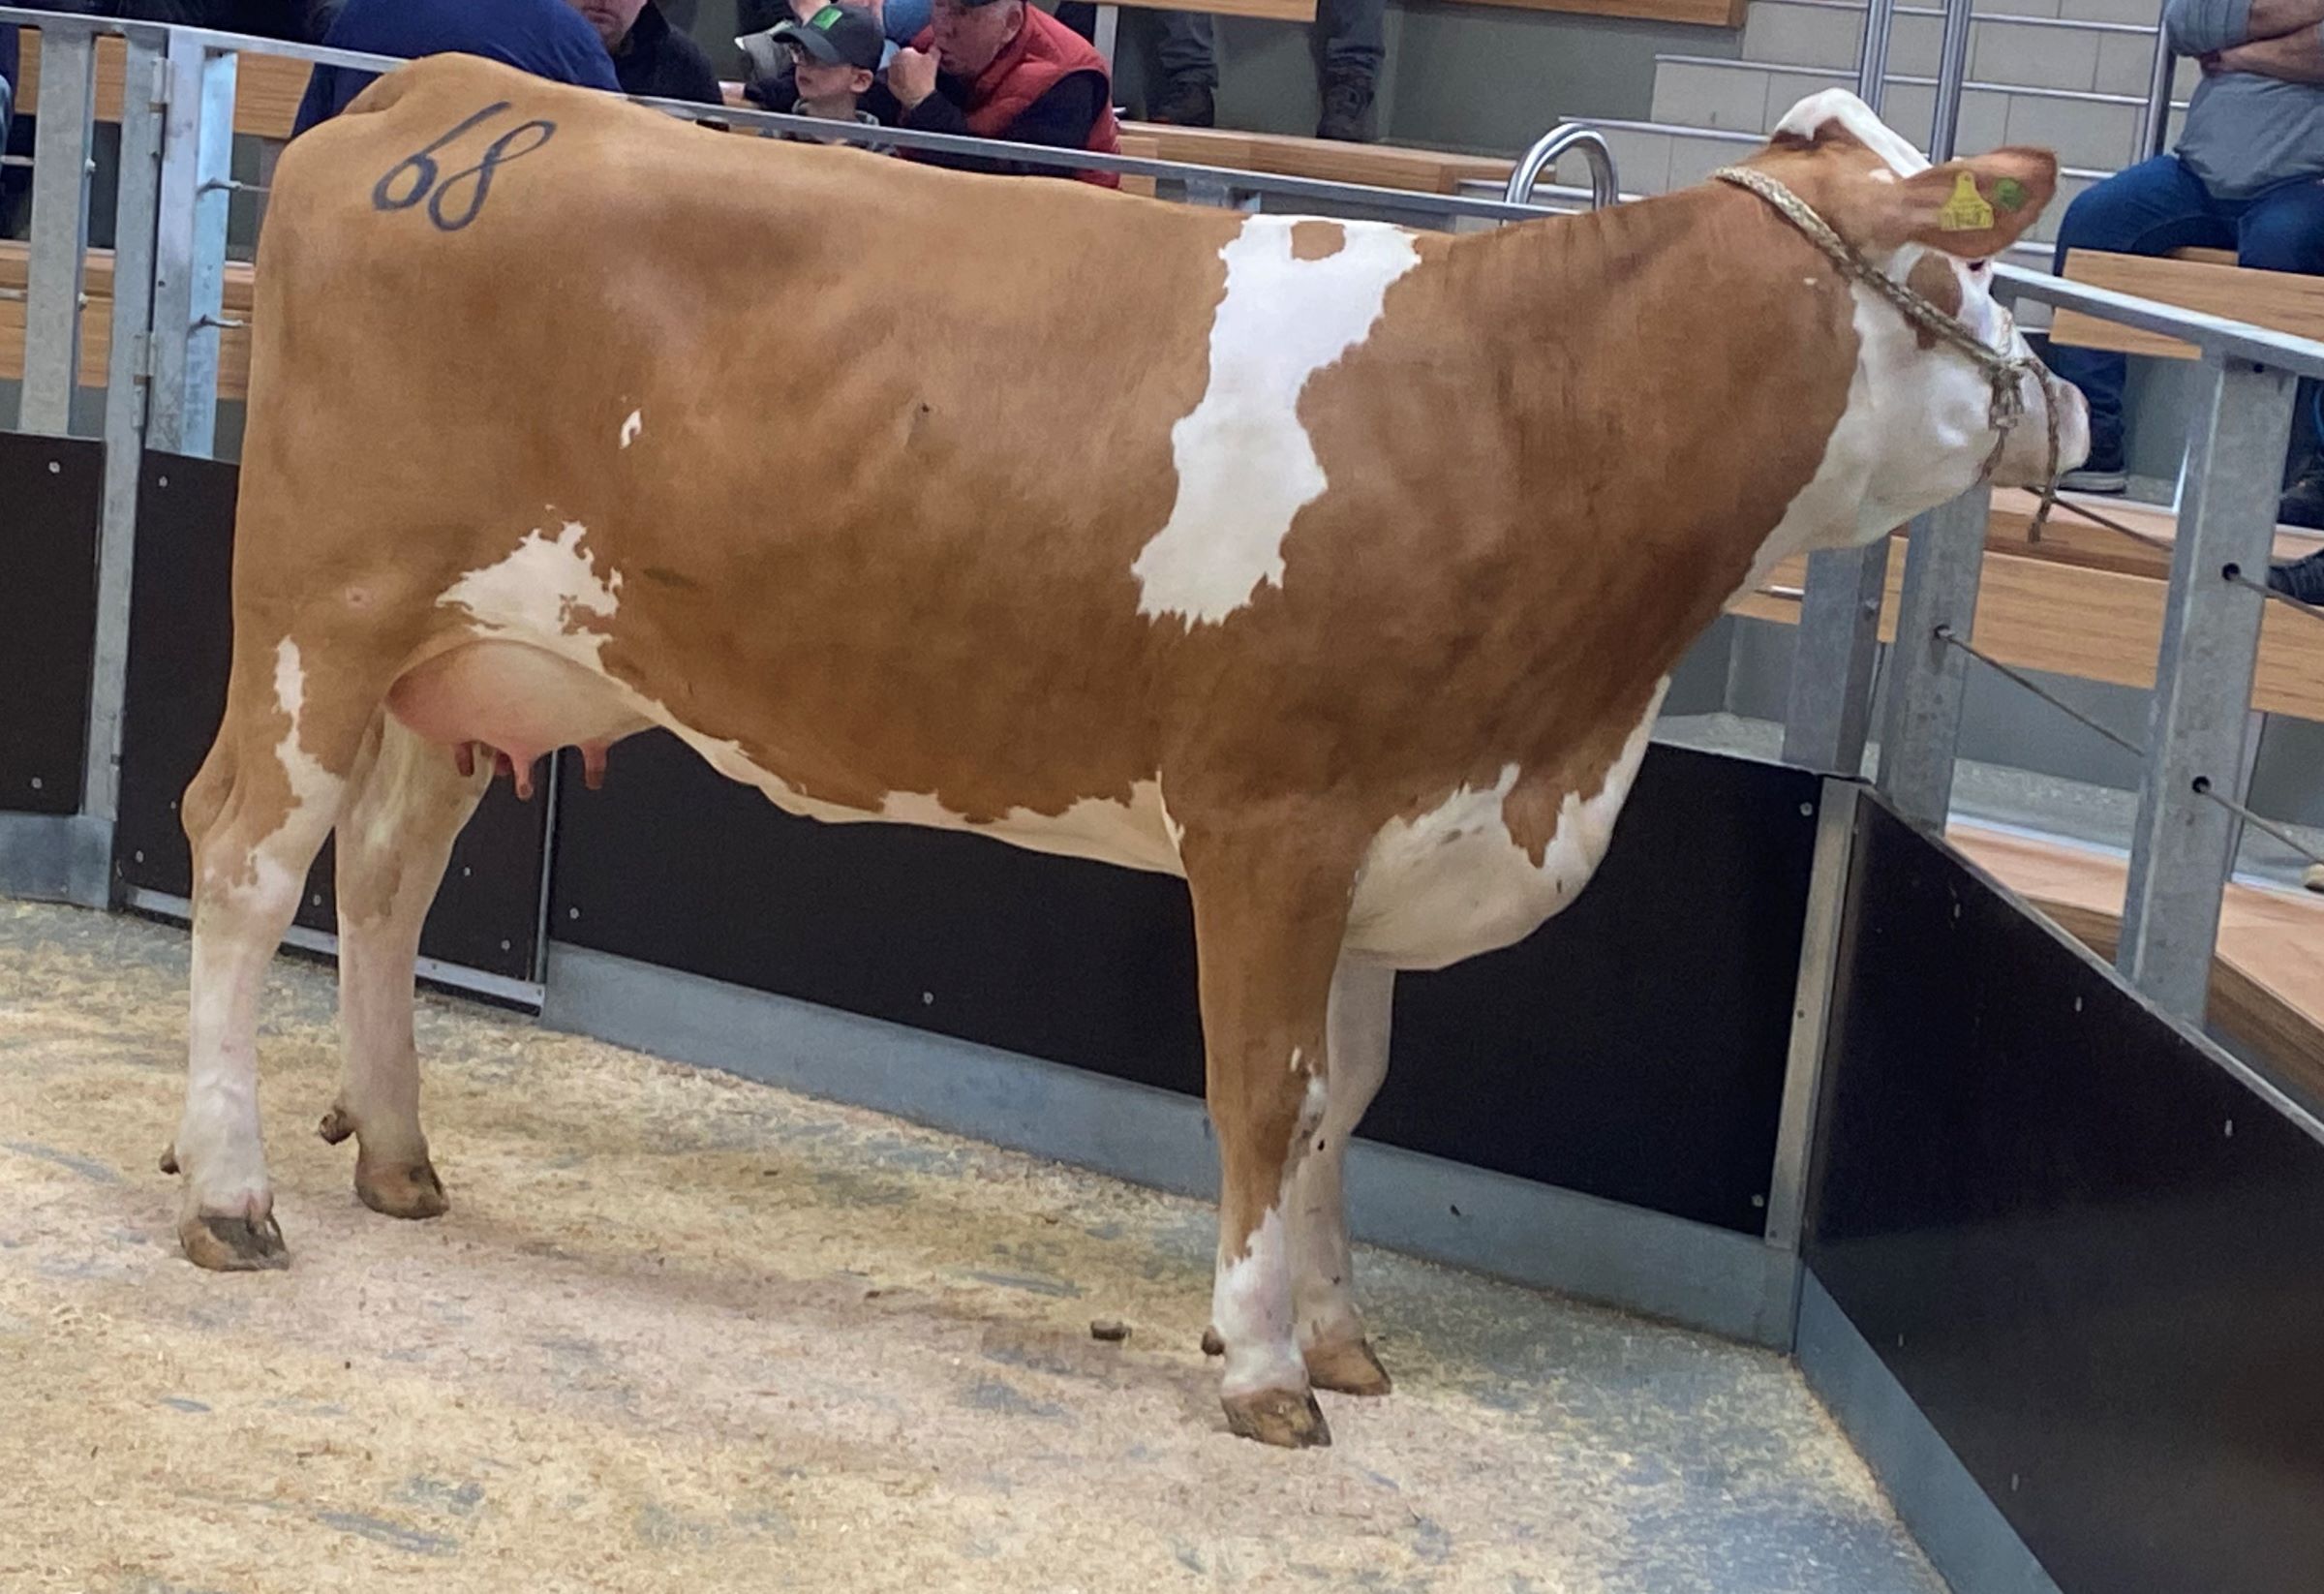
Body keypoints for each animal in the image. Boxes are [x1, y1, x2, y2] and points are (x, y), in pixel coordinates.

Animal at [159, 54, 2086, 1448]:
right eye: (1966, 266)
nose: (2062, 401)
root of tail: (443, 92)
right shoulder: (1275, 816)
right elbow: (1266, 1092)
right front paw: (1262, 1367)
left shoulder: (1392, 822)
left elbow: (1348, 1096)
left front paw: (1341, 1329)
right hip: (323, 609)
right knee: (247, 858)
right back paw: (236, 1191)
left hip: (475, 664)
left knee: (385, 878)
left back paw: (397, 1155)